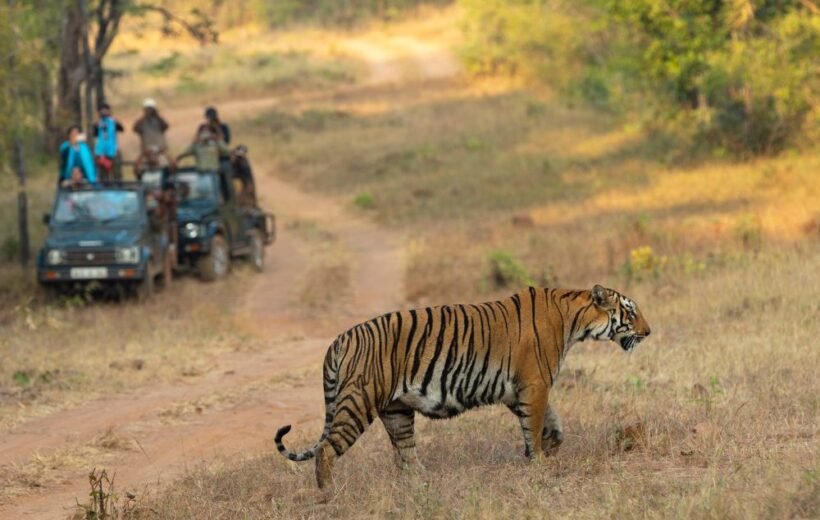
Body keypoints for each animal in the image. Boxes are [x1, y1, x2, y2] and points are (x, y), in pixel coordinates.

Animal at [278, 284, 652, 488]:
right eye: (631, 313)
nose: (648, 332)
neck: (575, 319)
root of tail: (340, 339)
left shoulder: (518, 390)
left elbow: (553, 423)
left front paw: (549, 447)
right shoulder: (534, 384)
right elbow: (534, 425)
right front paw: (539, 462)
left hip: (397, 412)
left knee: (405, 456)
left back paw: (423, 482)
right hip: (359, 401)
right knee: (326, 450)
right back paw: (327, 495)